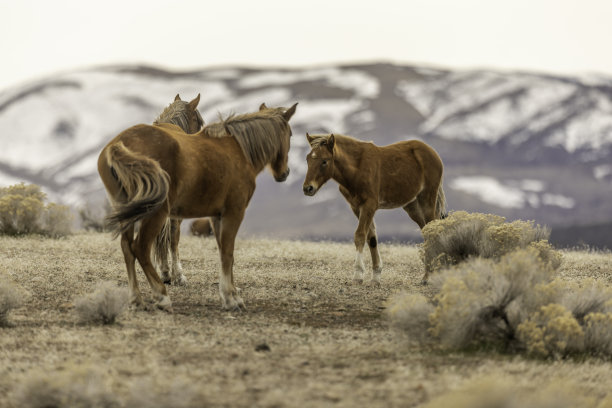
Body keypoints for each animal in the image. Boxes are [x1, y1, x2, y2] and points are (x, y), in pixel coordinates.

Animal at [304, 133, 448, 284]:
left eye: (324, 161)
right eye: (308, 159)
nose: (308, 188)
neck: (357, 168)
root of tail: (433, 153)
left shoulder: (370, 205)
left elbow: (360, 235)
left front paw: (358, 275)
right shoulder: (356, 207)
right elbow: (371, 238)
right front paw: (376, 276)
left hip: (427, 199)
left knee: (432, 230)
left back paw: (431, 276)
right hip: (412, 206)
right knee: (427, 230)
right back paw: (430, 274)